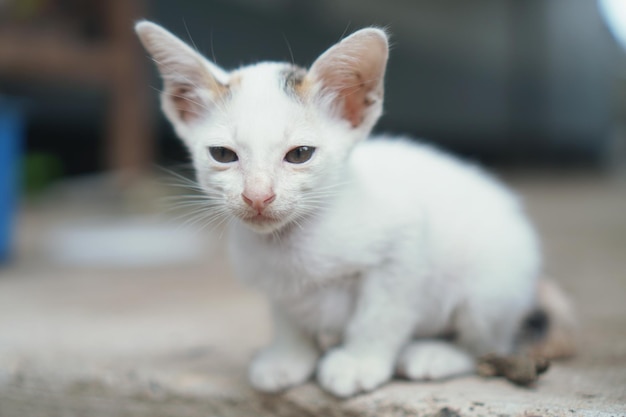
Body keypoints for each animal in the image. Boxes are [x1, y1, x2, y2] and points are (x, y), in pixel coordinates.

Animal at [134, 20, 572, 396]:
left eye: (300, 154)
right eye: (223, 154)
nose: (258, 196)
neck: (292, 244)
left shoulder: (405, 247)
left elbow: (382, 314)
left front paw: (360, 362)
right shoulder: (272, 278)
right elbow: (287, 315)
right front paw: (288, 358)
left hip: (492, 285)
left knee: (489, 342)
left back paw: (436, 354)